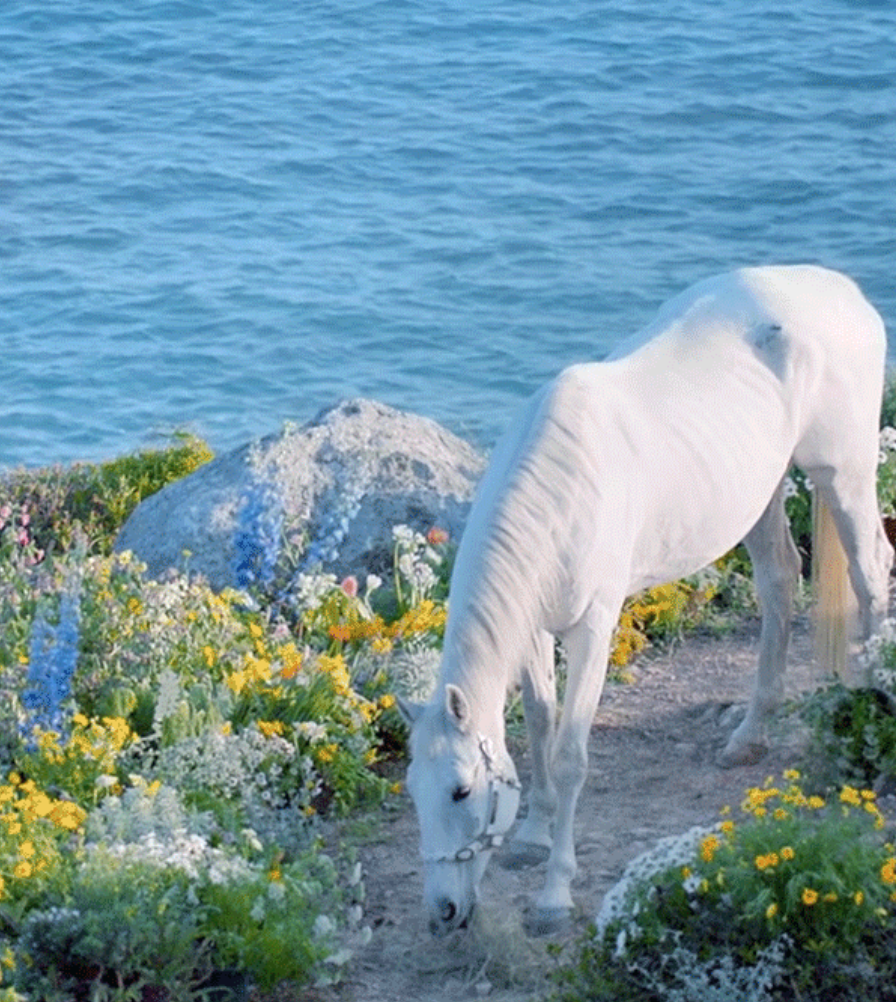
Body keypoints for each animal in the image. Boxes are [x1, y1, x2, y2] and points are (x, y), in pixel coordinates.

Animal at [400, 262, 896, 933]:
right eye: (413, 790)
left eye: (460, 790)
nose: (443, 912)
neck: (561, 493)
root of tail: (844, 291)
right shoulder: (533, 625)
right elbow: (538, 722)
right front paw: (532, 835)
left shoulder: (592, 627)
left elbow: (570, 752)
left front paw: (555, 893)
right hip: (760, 491)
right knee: (780, 581)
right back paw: (750, 735)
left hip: (842, 473)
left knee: (871, 571)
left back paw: (867, 705)